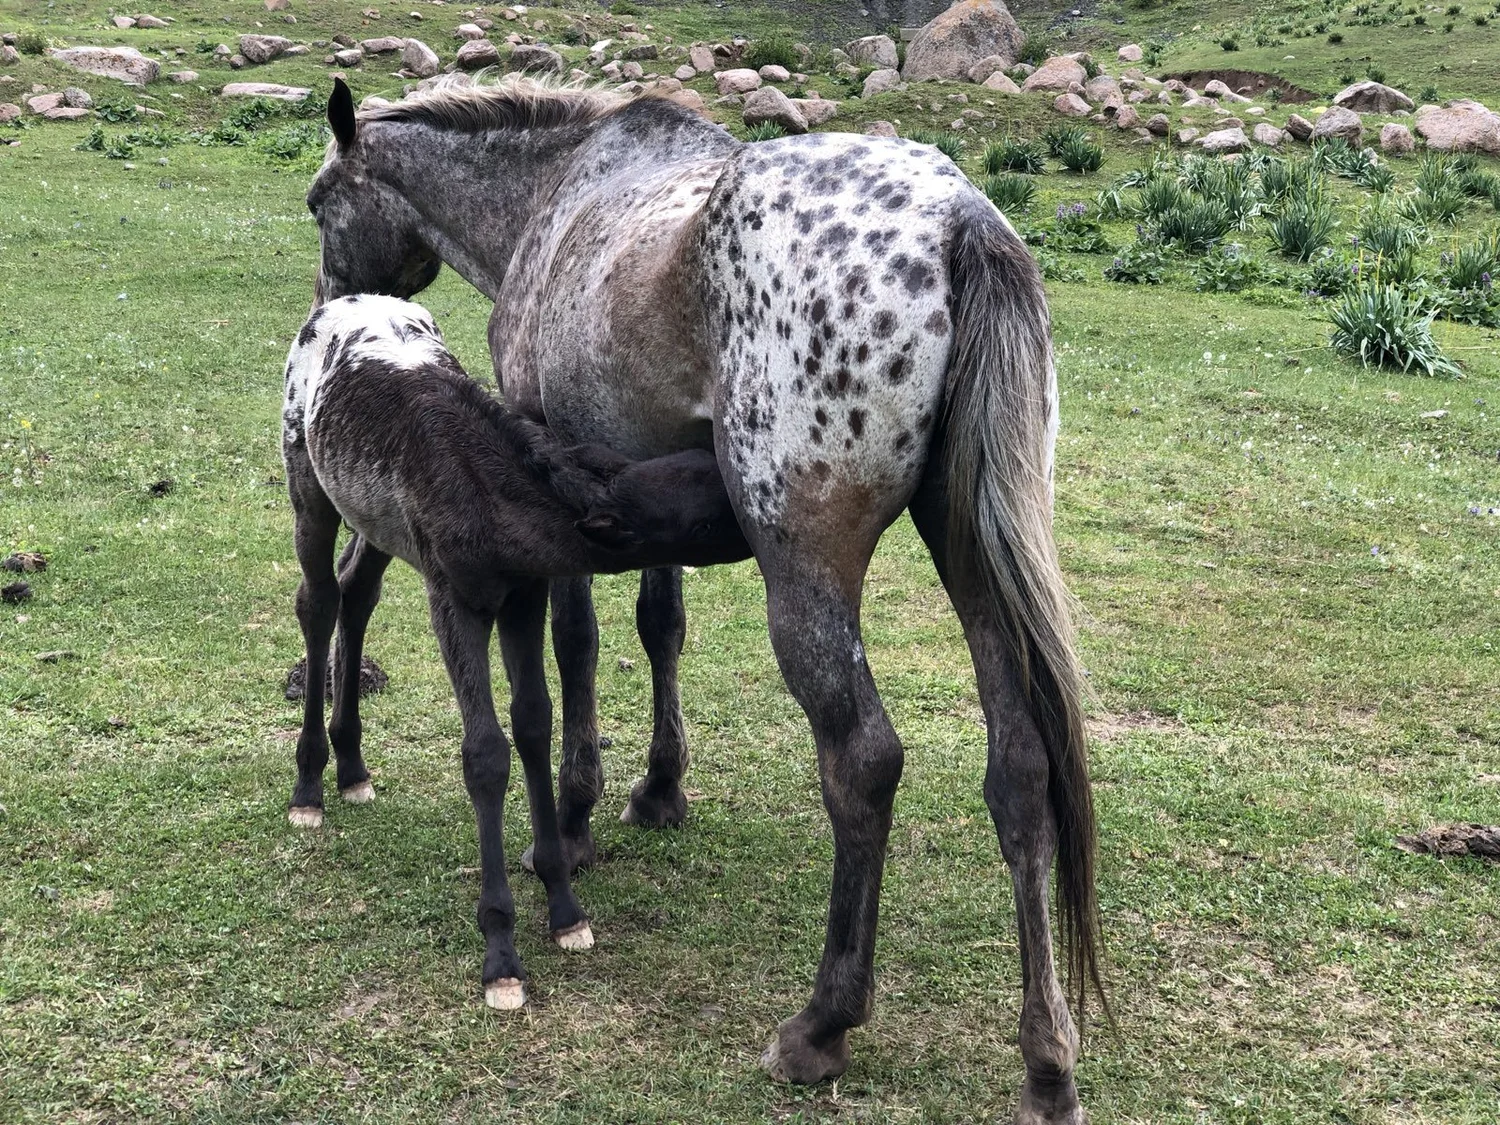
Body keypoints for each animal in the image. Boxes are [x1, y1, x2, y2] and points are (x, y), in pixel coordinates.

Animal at [282, 293, 751, 1010]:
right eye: (703, 517)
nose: (763, 519)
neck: (488, 494)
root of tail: (346, 301)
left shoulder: (524, 597)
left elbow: (534, 724)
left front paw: (565, 908)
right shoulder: (454, 598)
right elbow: (485, 753)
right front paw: (501, 955)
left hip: (375, 519)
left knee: (357, 591)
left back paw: (353, 768)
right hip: (307, 482)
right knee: (319, 601)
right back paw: (309, 787)